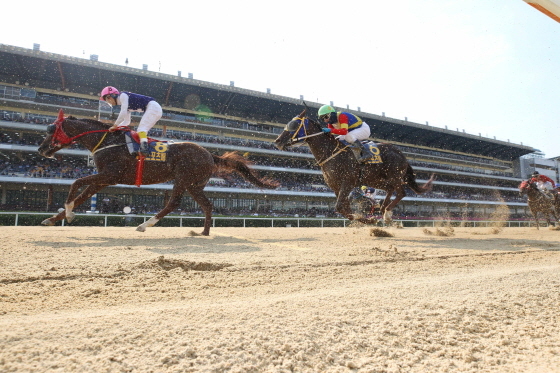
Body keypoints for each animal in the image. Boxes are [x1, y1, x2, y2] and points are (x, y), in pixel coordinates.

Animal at [37, 109, 278, 234]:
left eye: (51, 129)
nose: (41, 149)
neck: (107, 142)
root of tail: (210, 154)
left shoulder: (111, 175)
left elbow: (76, 183)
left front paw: (68, 214)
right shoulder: (103, 180)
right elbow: (80, 196)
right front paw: (53, 219)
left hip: (183, 178)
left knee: (174, 203)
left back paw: (145, 224)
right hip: (195, 184)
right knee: (207, 205)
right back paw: (203, 232)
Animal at [274, 108, 436, 224]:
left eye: (293, 124)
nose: (277, 141)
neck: (331, 153)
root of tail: (401, 153)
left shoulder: (347, 182)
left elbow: (340, 207)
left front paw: (366, 220)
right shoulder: (336, 186)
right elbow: (344, 208)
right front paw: (364, 219)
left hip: (395, 175)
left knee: (401, 192)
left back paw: (387, 212)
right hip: (375, 179)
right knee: (390, 189)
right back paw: (383, 208)